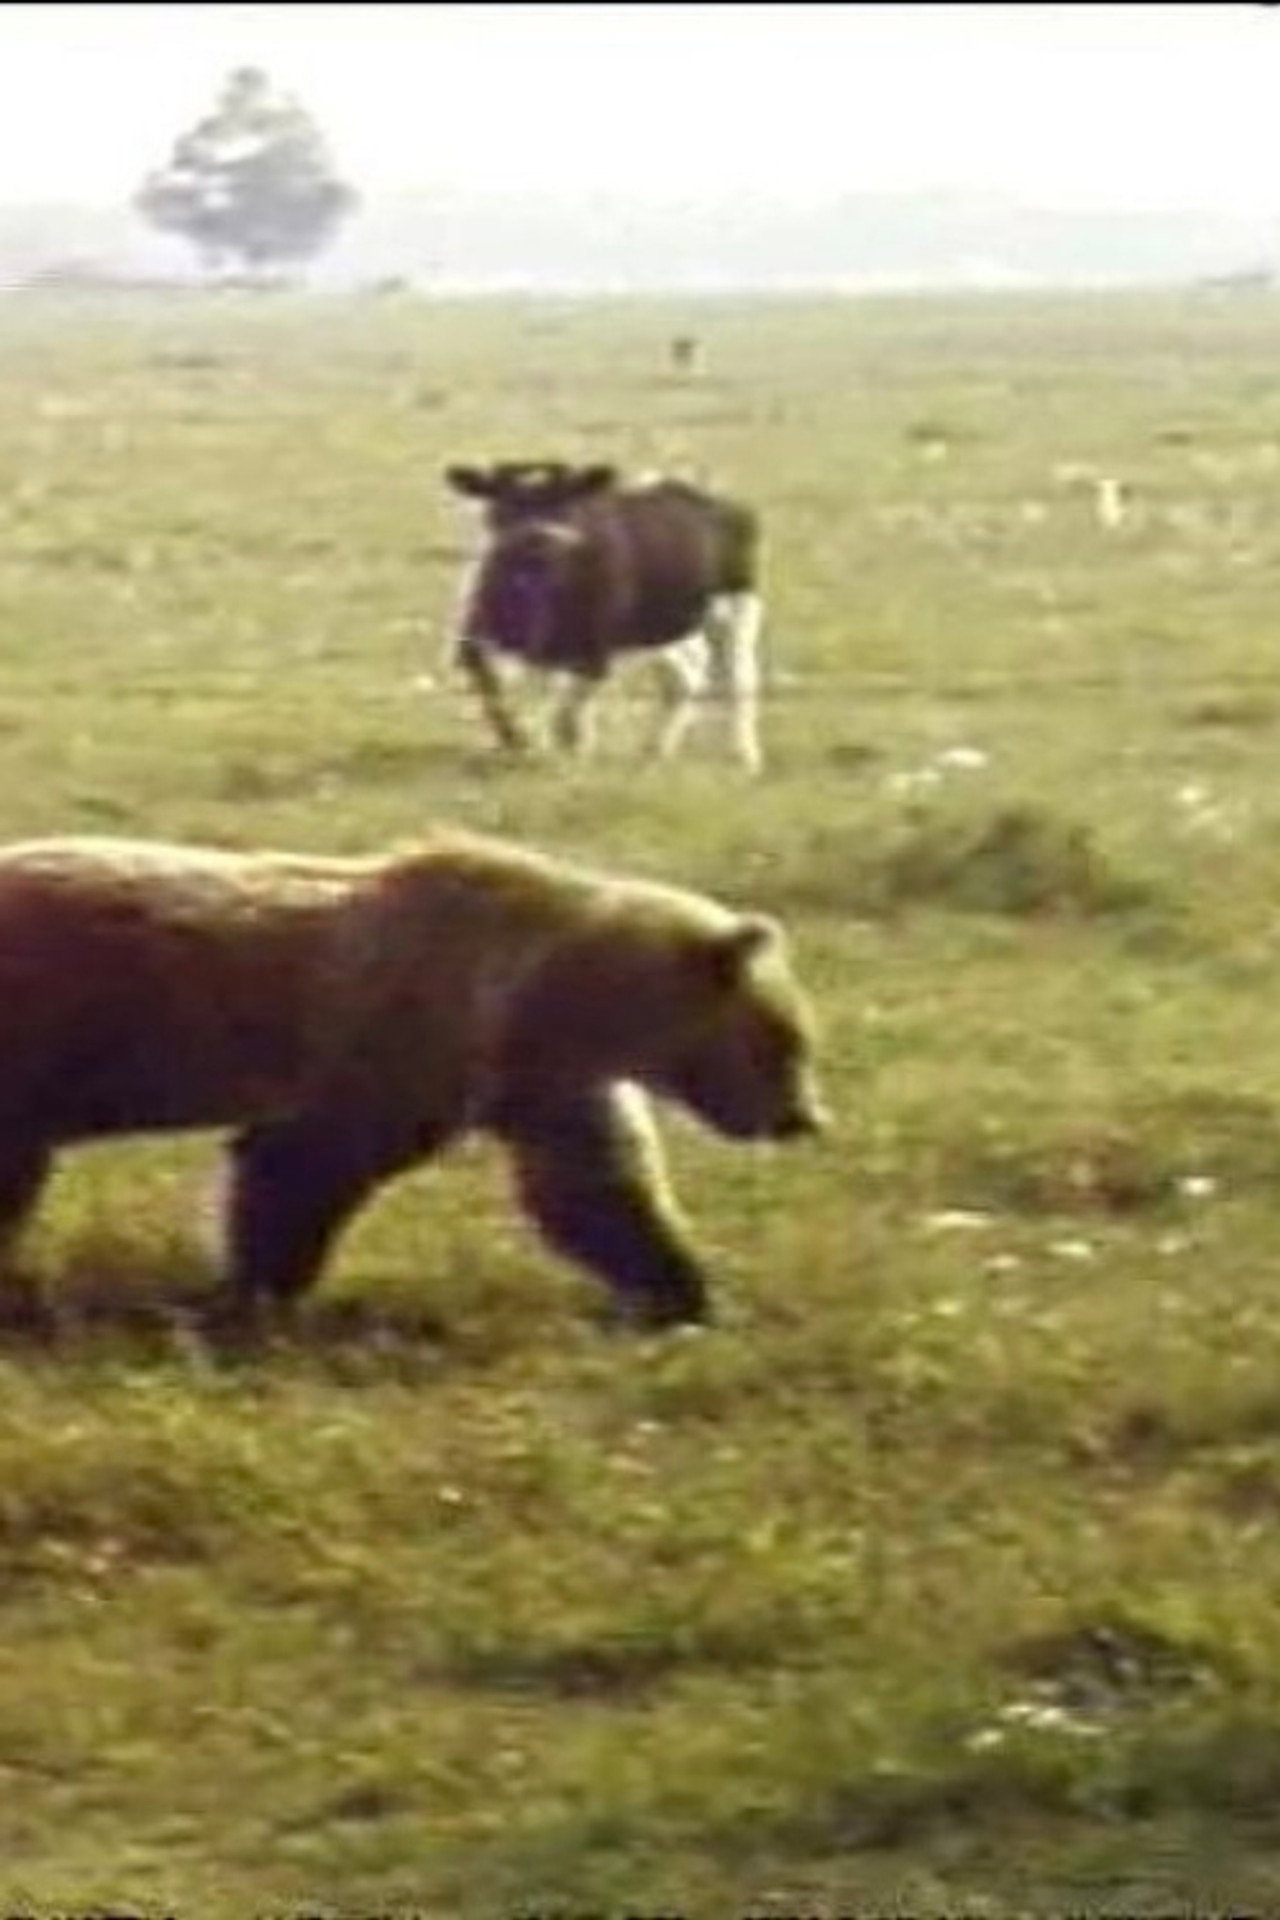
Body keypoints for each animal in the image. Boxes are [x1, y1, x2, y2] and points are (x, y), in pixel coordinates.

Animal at [0, 828, 828, 1329]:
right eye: (788, 1040)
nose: (804, 1120)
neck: (541, 1000)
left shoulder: (539, 1083)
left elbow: (595, 1189)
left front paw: (687, 1294)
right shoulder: (411, 1040)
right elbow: (302, 1165)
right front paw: (256, 1296)